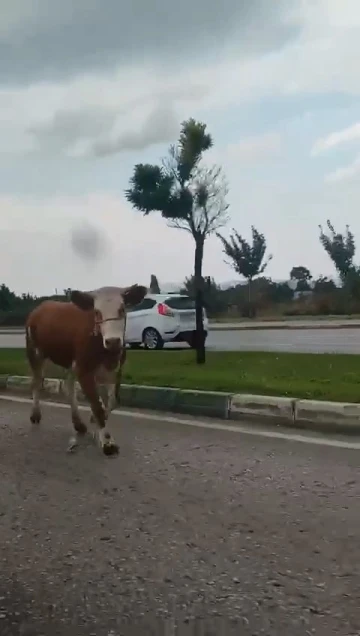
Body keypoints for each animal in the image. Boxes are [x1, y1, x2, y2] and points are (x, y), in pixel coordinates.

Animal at [25, 286, 146, 454]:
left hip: (70, 361)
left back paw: (78, 423)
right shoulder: (84, 370)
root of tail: (41, 307)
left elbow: (111, 402)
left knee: (68, 387)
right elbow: (97, 406)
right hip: (35, 353)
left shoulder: (114, 370)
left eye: (122, 309)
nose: (113, 341)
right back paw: (35, 414)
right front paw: (107, 442)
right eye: (96, 312)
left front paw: (96, 422)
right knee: (37, 382)